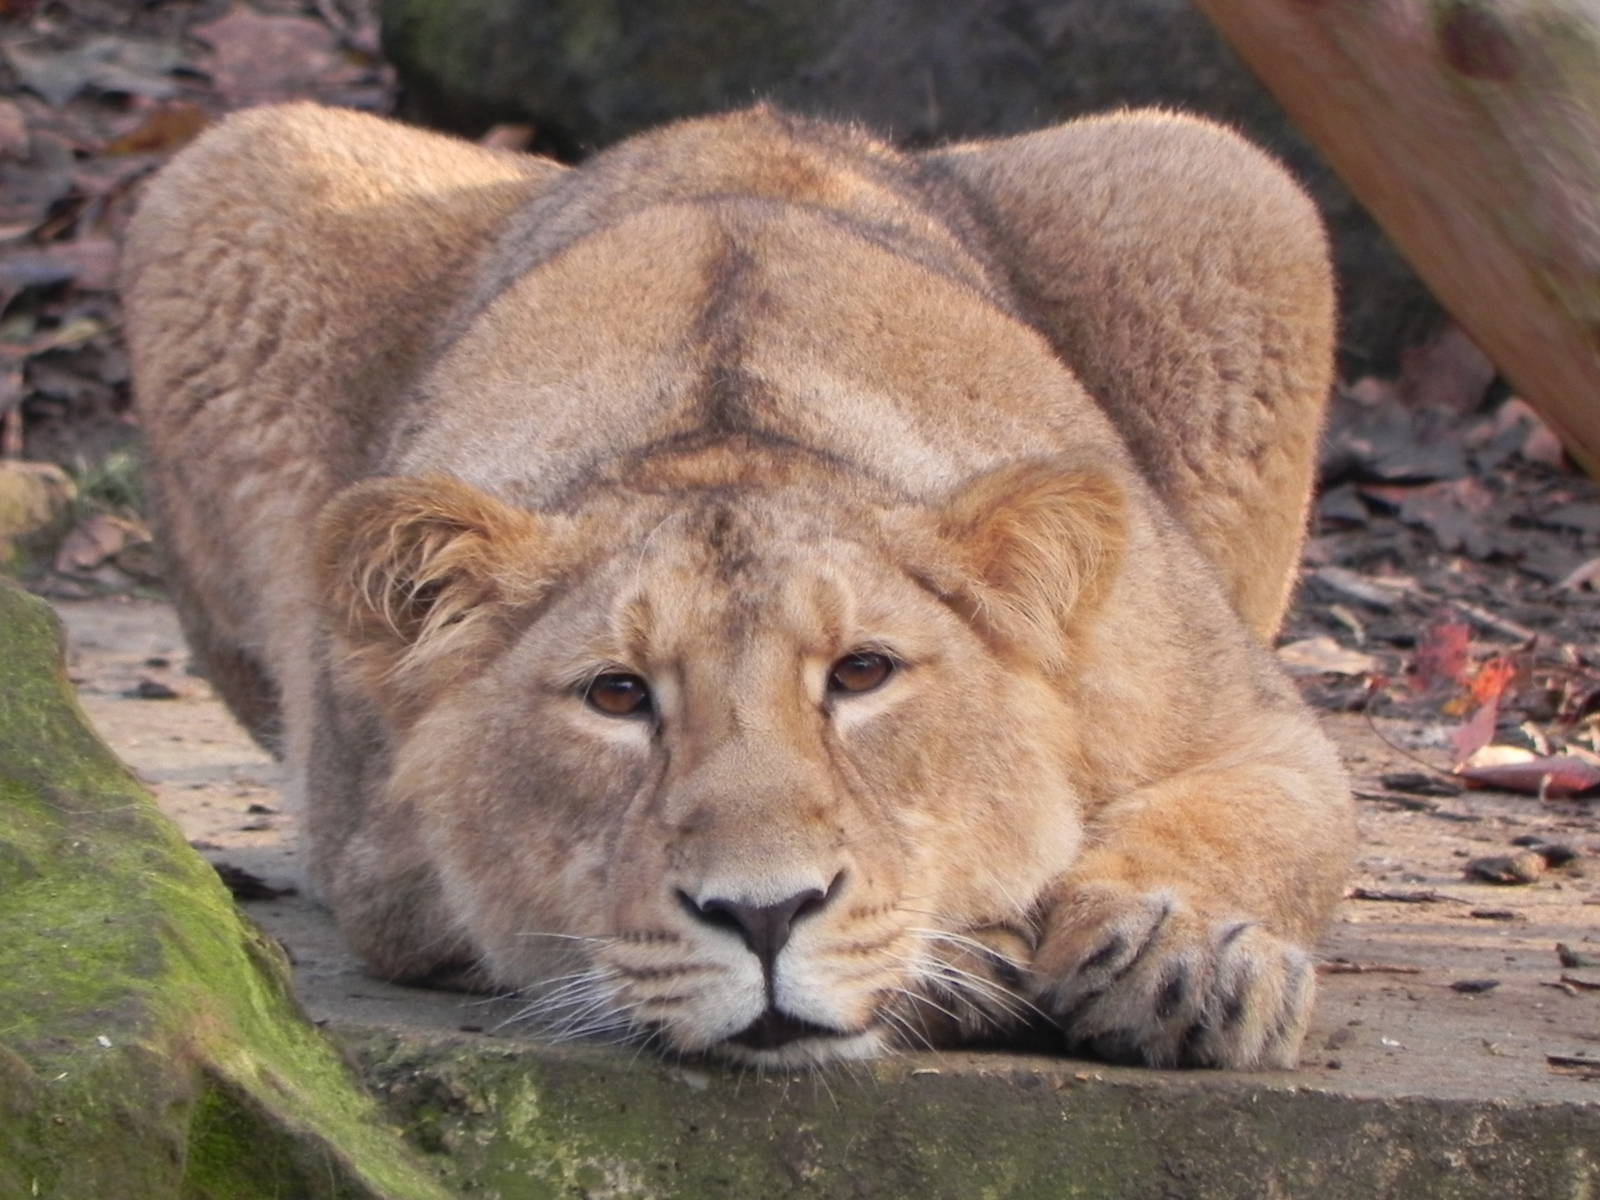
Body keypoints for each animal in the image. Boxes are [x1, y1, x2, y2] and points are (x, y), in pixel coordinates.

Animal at [124, 101, 1352, 1069]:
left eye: (862, 674)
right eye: (617, 696)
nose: (765, 918)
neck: (723, 436)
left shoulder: (1240, 712)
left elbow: (1266, 817)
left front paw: (1181, 952)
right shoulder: (370, 852)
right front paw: (968, 965)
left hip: (1217, 175)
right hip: (232, 167)